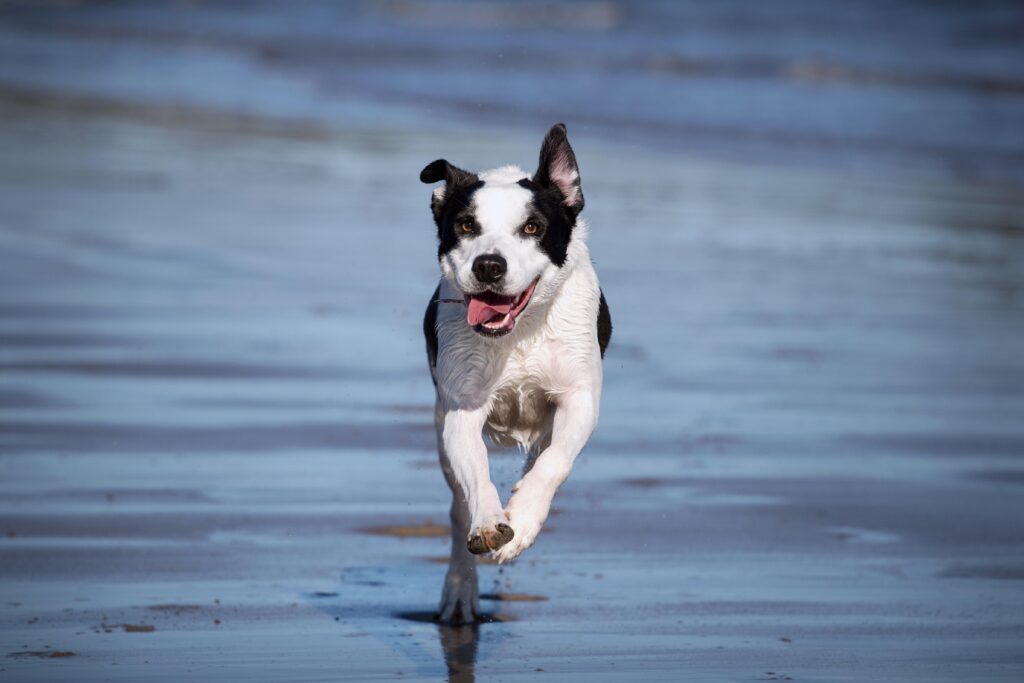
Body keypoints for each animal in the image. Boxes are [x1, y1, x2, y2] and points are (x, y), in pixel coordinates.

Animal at [419, 124, 610, 626]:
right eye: (467, 225)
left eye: (532, 228)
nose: (489, 264)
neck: (518, 333)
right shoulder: (460, 409)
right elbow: (476, 475)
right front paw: (492, 522)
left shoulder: (578, 397)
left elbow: (555, 462)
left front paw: (521, 521)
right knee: (456, 507)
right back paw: (460, 591)